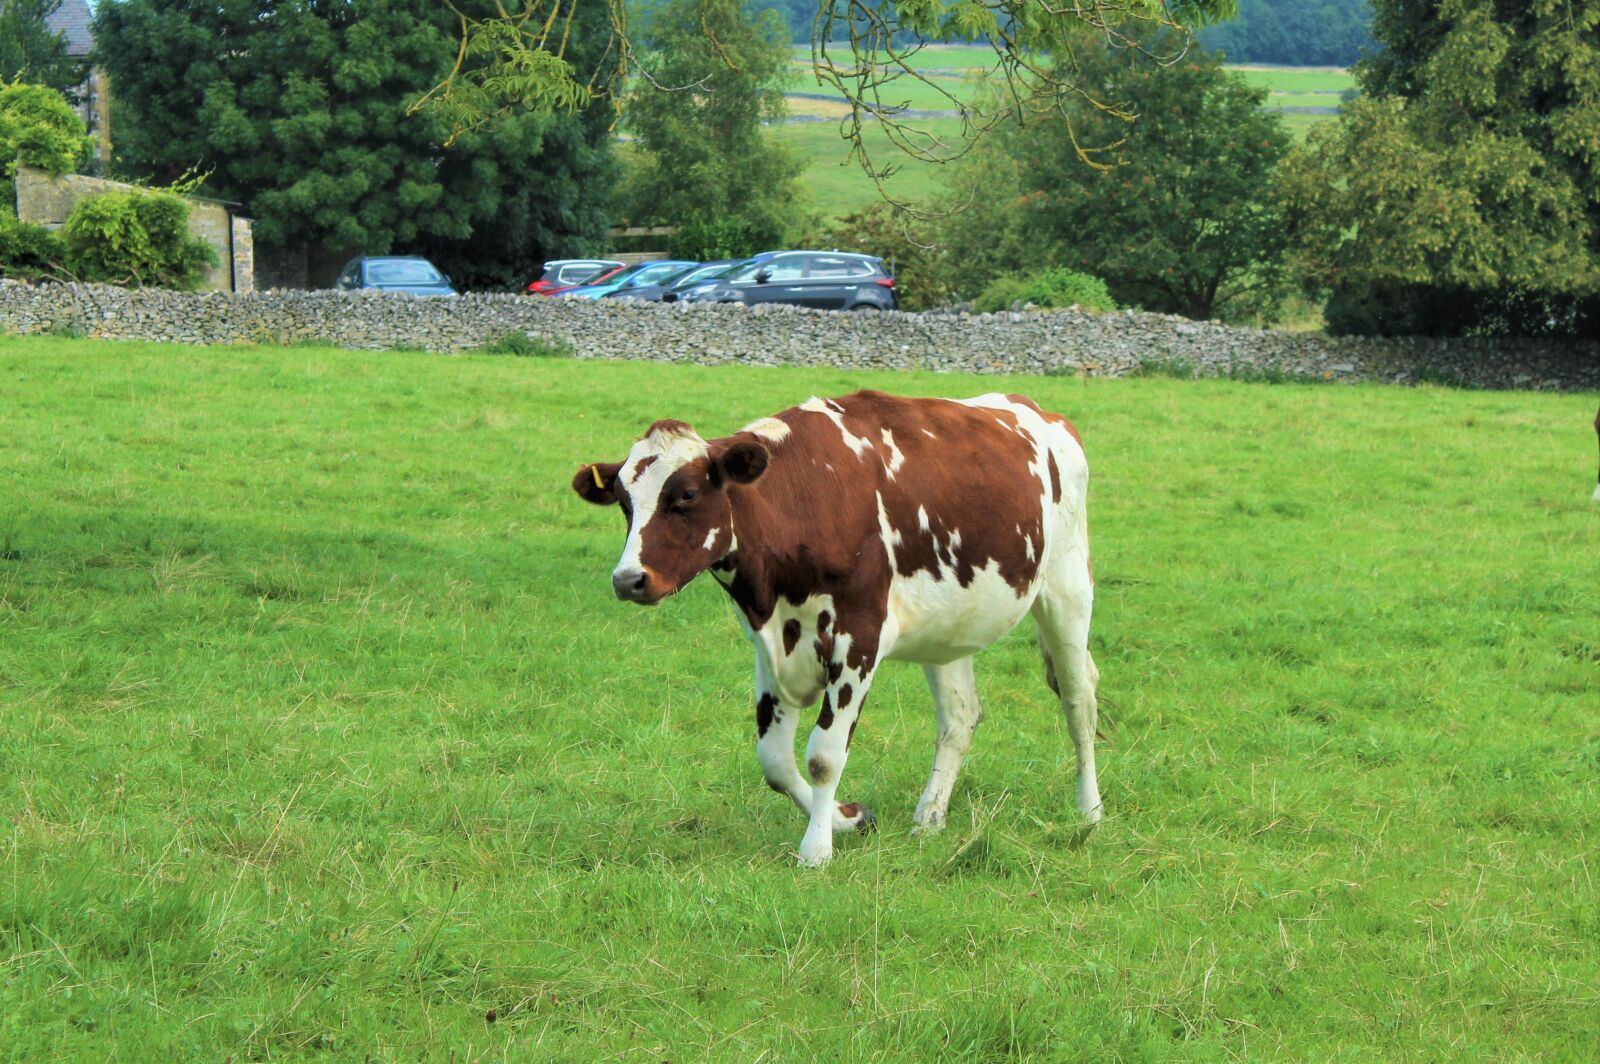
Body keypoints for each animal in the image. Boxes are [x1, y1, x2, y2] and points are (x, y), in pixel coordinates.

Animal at [572, 390, 1100, 866]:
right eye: (623, 503)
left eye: (686, 495)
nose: (628, 579)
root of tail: (1041, 411)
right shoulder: (771, 646)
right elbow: (775, 759)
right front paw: (849, 818)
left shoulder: (859, 634)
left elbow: (823, 755)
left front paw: (816, 851)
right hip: (948, 629)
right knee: (959, 717)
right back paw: (929, 816)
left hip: (1067, 590)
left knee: (1079, 702)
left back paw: (1088, 811)